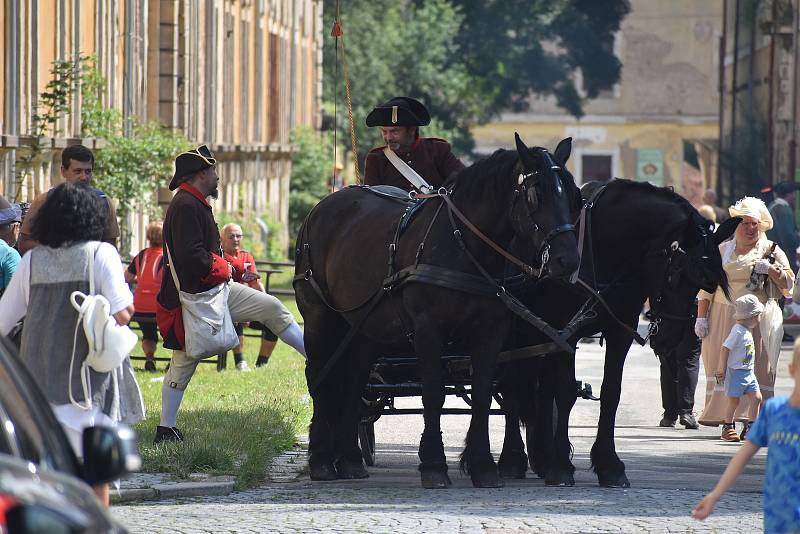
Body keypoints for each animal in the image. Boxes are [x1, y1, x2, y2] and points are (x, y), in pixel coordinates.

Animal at [294, 134, 580, 490]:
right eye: (535, 193)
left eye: (572, 193)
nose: (568, 260)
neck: (464, 247)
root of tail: (317, 211)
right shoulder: (428, 330)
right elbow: (433, 394)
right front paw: (433, 464)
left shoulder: (491, 333)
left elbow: (483, 395)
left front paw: (483, 466)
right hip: (320, 319)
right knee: (320, 377)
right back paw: (321, 460)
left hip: (364, 329)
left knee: (354, 379)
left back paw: (349, 460)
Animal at [500, 181, 736, 490]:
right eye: (677, 273)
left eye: (704, 285)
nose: (671, 338)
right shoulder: (566, 335)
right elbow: (565, 392)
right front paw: (561, 465)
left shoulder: (618, 333)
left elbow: (611, 393)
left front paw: (608, 463)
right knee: (513, 385)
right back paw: (513, 457)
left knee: (539, 388)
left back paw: (541, 455)